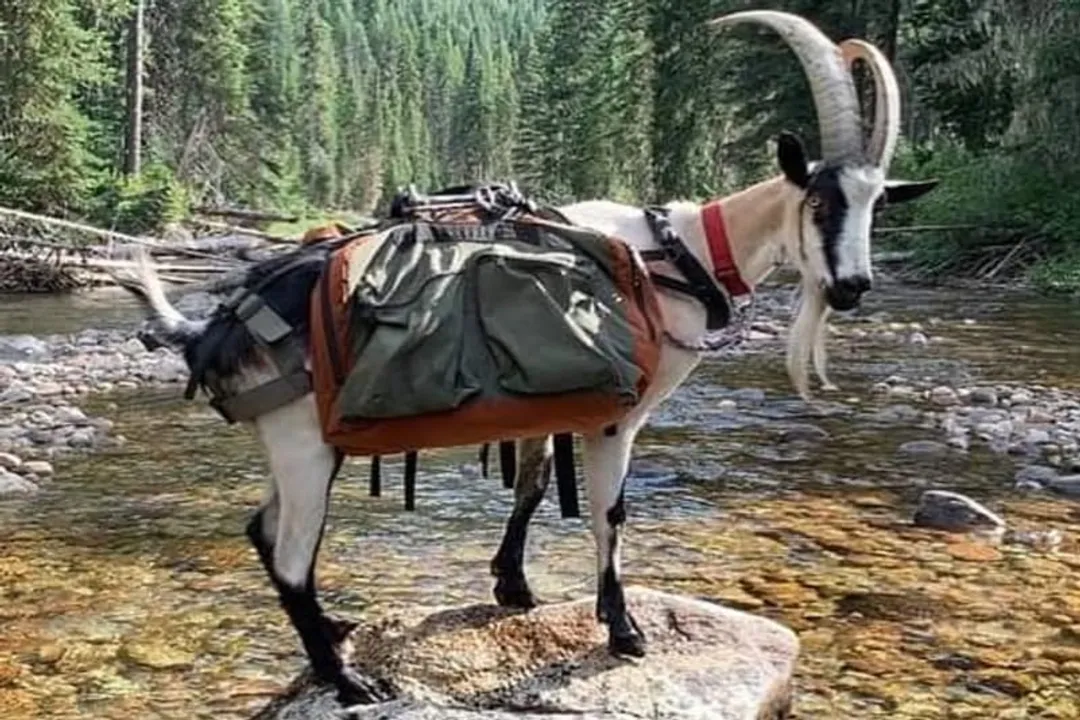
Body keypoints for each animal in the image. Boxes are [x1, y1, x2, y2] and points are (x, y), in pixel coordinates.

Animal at [113, 11, 937, 708]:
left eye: (877, 205)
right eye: (822, 202)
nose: (852, 287)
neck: (677, 258)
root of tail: (214, 329)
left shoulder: (551, 406)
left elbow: (534, 487)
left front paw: (514, 587)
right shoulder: (618, 416)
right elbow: (610, 511)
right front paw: (624, 631)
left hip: (294, 443)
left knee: (263, 530)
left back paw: (340, 634)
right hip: (304, 444)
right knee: (289, 557)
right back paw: (347, 682)